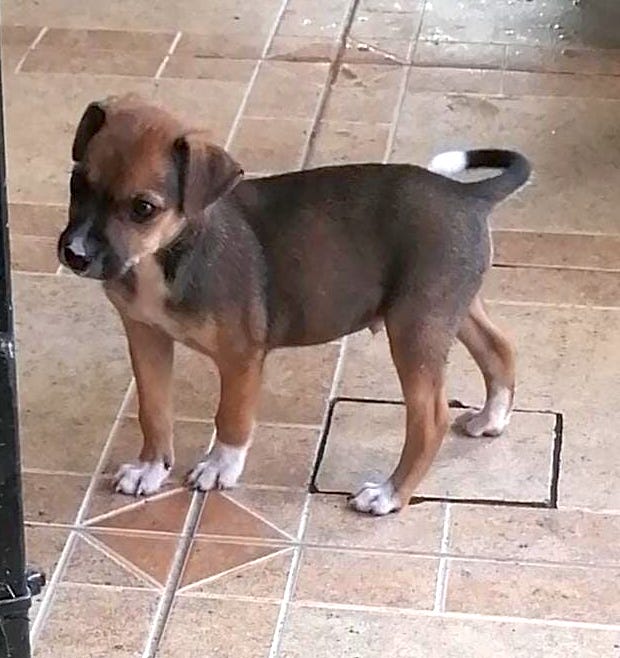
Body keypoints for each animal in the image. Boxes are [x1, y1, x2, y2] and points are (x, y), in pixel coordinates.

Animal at [58, 93, 528, 512]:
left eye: (143, 208)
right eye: (77, 184)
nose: (74, 254)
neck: (165, 255)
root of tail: (467, 196)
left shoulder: (241, 356)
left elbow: (232, 416)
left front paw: (220, 467)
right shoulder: (146, 335)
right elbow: (153, 409)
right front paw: (151, 468)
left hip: (415, 327)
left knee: (430, 418)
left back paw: (389, 494)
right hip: (449, 307)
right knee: (499, 348)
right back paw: (492, 418)